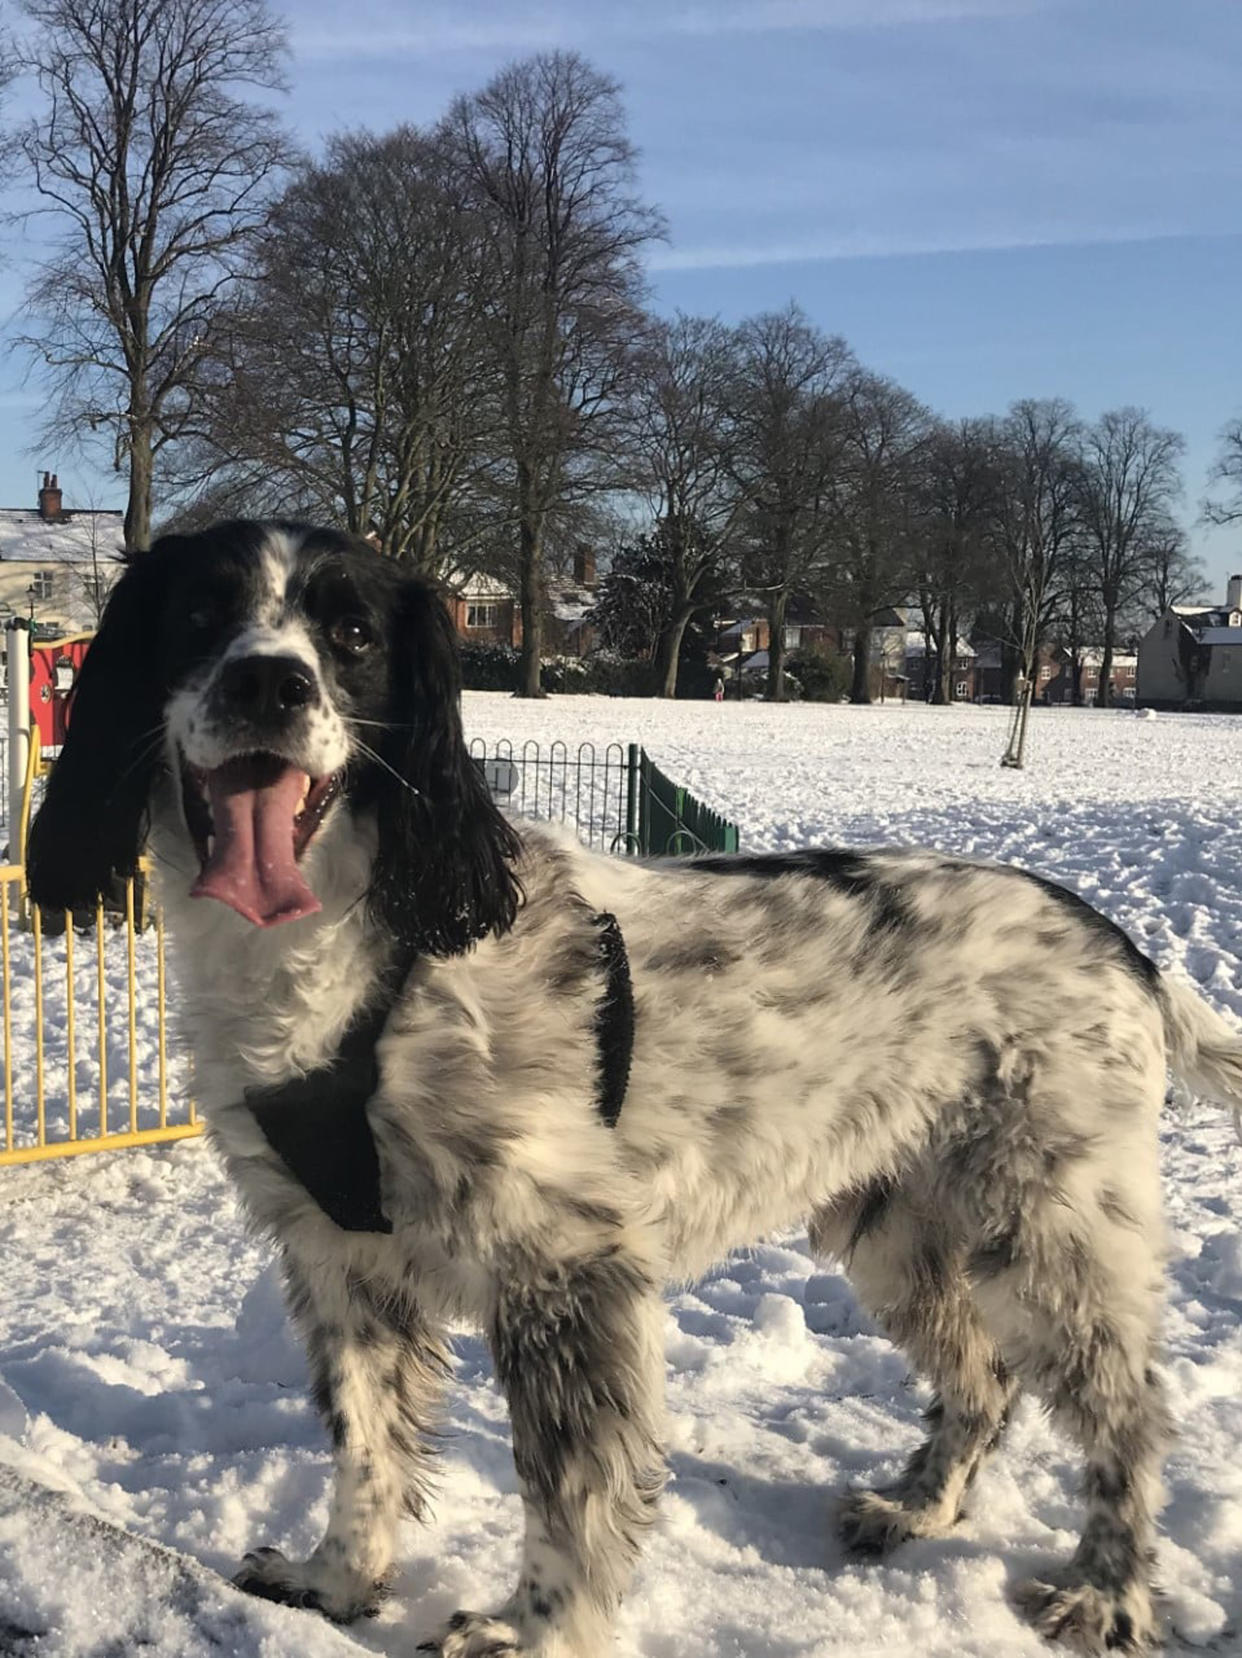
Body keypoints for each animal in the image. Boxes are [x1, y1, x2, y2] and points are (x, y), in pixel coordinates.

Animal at [24, 520, 1240, 1658]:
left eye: (353, 633)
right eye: (198, 613)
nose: (269, 683)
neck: (355, 951)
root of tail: (1128, 950)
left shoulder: (567, 1267)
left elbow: (570, 1489)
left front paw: (534, 1630)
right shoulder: (340, 1260)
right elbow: (365, 1443)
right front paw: (338, 1580)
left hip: (1051, 1233)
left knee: (1131, 1418)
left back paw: (1105, 1596)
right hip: (902, 1231)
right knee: (983, 1379)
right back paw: (917, 1510)